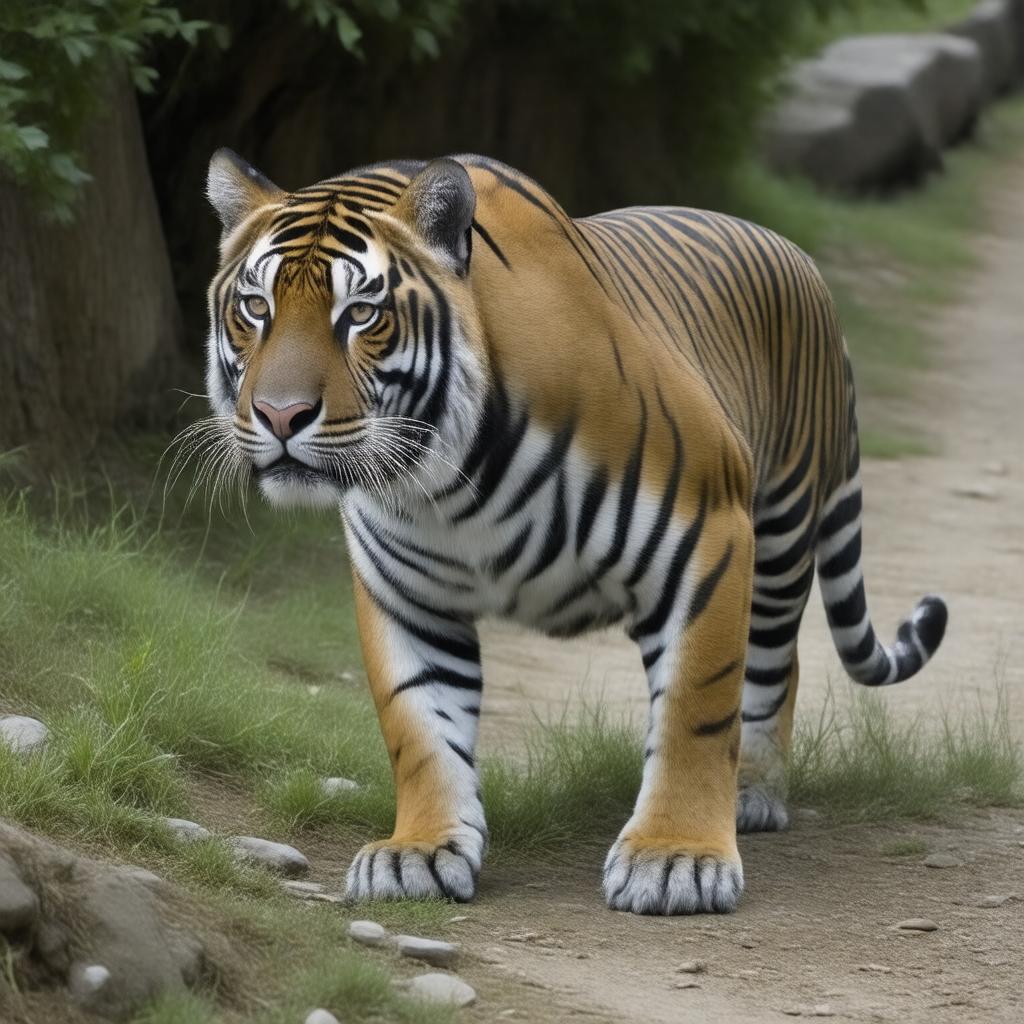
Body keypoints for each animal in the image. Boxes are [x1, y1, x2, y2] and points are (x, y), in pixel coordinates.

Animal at [202, 149, 947, 915]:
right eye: (255, 307)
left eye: (360, 314)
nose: (280, 415)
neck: (448, 483)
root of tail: (796, 254)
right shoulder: (404, 593)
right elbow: (420, 725)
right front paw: (420, 850)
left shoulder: (709, 536)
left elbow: (695, 710)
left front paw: (676, 858)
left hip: (781, 536)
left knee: (775, 668)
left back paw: (752, 795)